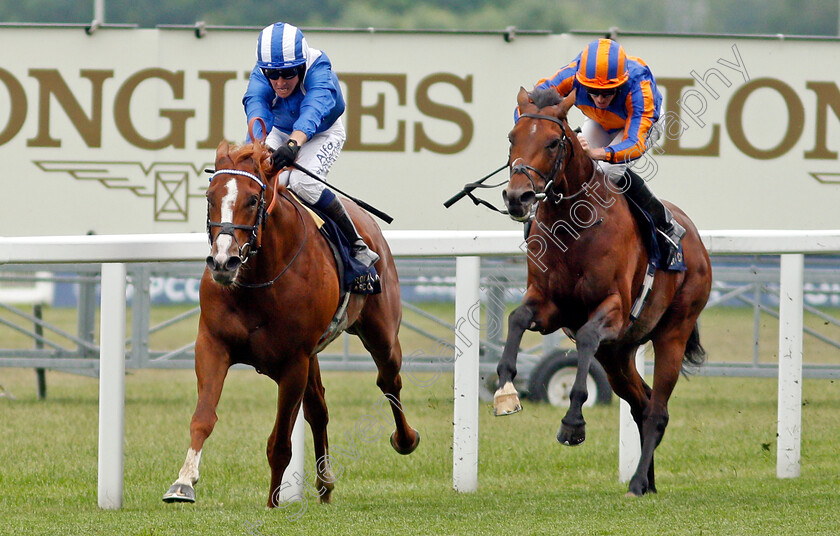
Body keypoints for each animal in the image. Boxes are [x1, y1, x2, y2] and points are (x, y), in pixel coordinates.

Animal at [162, 127, 420, 508]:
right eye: (210, 197)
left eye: (253, 199)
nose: (223, 262)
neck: (258, 279)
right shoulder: (212, 344)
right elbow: (203, 418)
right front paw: (183, 483)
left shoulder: (293, 362)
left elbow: (280, 443)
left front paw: (272, 505)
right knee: (319, 407)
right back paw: (325, 484)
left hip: (381, 333)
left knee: (389, 380)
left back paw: (405, 439)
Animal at [496, 86, 712, 496]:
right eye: (512, 138)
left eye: (552, 142)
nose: (518, 197)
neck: (572, 227)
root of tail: (695, 237)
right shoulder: (549, 305)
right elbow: (516, 318)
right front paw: (505, 392)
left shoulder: (613, 308)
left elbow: (584, 338)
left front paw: (572, 423)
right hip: (618, 354)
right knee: (642, 403)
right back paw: (647, 482)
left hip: (672, 333)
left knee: (657, 410)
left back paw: (638, 481)